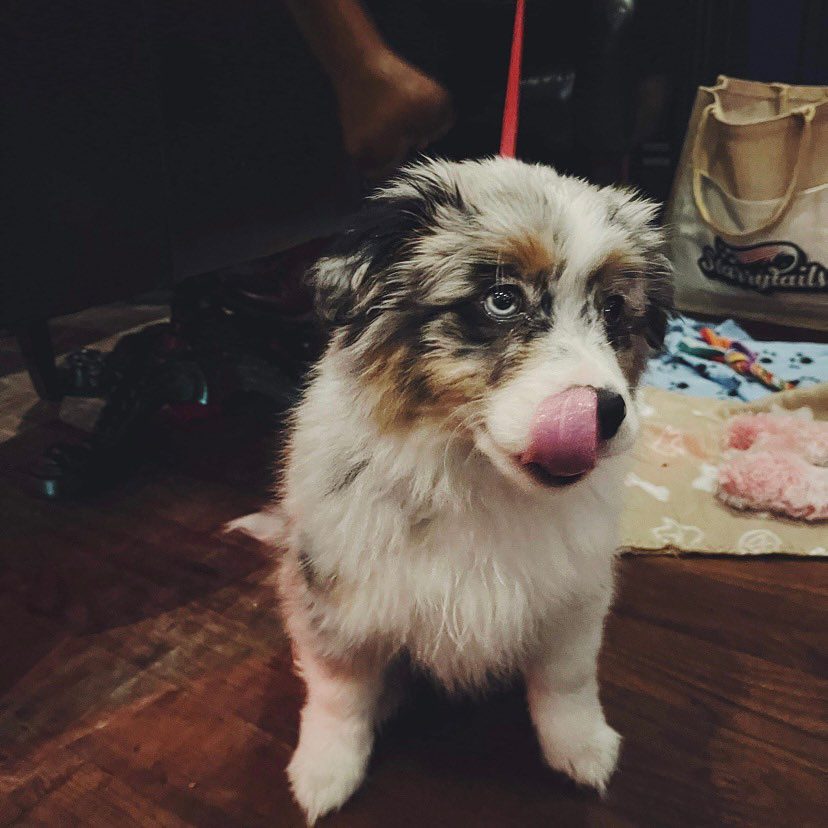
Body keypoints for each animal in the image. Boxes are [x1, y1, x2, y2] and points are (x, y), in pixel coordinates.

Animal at [233, 155, 672, 820]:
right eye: (502, 299)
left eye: (615, 312)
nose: (605, 413)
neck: (474, 481)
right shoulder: (337, 596)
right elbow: (339, 693)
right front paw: (326, 770)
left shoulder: (575, 598)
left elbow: (567, 680)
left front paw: (582, 749)